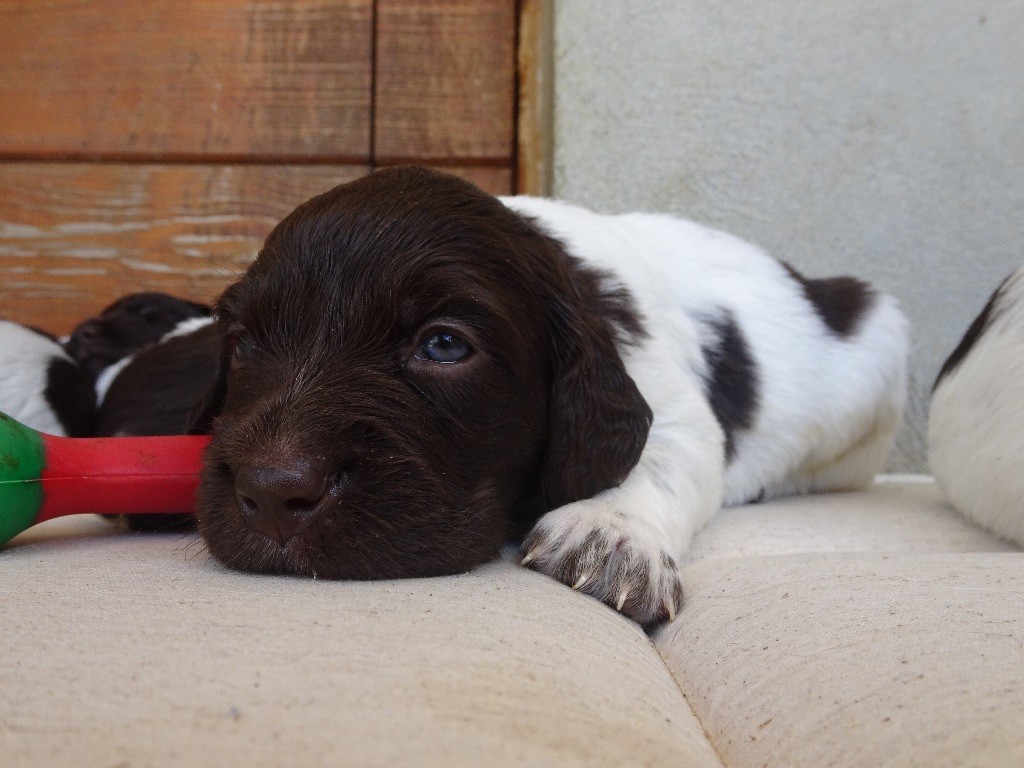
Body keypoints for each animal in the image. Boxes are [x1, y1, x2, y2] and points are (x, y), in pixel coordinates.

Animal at [191, 166, 908, 626]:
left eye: (444, 345)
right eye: (244, 342)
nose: (273, 493)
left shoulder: (672, 405)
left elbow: (659, 457)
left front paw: (612, 534)